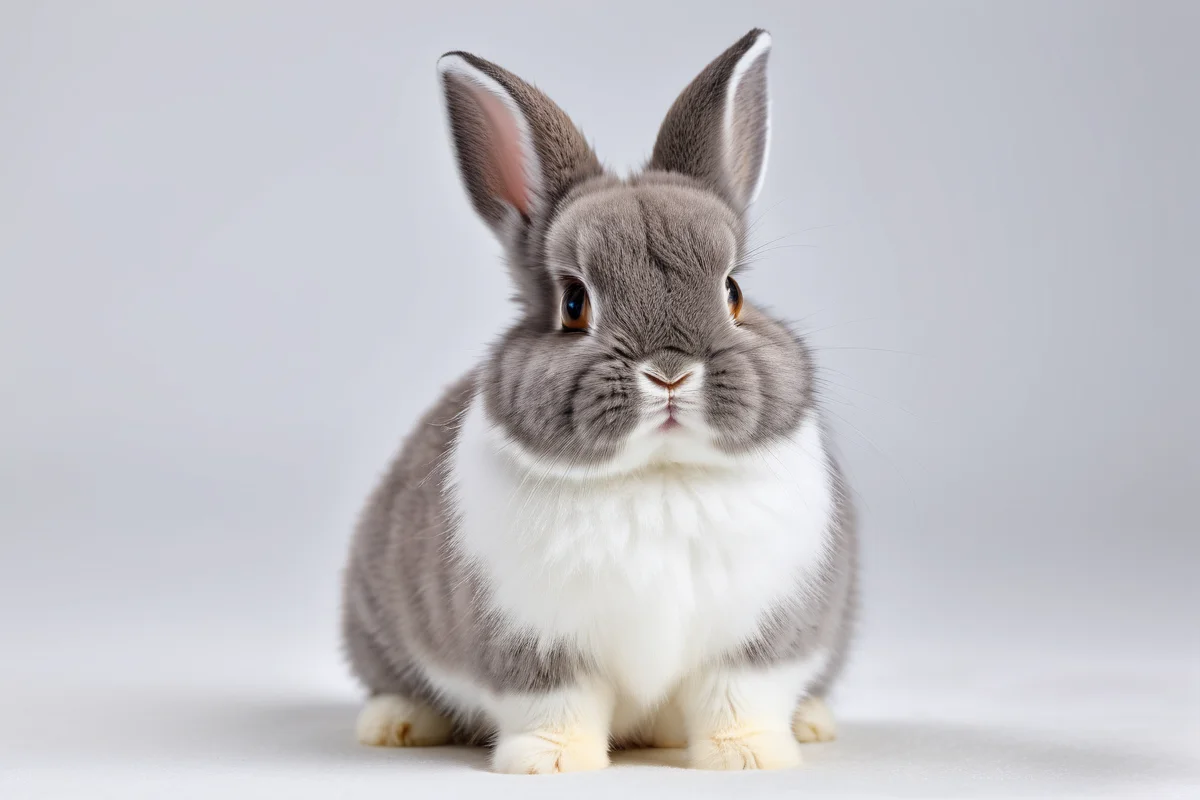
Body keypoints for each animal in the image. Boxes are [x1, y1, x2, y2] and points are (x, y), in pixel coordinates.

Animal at [341, 28, 858, 774]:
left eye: (733, 292)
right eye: (573, 303)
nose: (670, 371)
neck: (658, 476)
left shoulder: (762, 640)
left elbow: (738, 700)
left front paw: (750, 759)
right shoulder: (532, 644)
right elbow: (556, 705)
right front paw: (549, 763)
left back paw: (811, 723)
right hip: (375, 619)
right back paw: (394, 725)